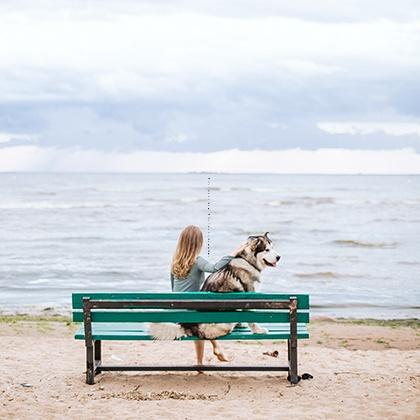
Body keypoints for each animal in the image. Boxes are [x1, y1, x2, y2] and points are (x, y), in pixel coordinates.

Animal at [149, 233, 280, 342]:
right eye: (267, 249)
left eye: (273, 248)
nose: (279, 257)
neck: (248, 261)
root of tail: (190, 326)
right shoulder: (250, 295)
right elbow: (251, 319)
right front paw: (258, 330)